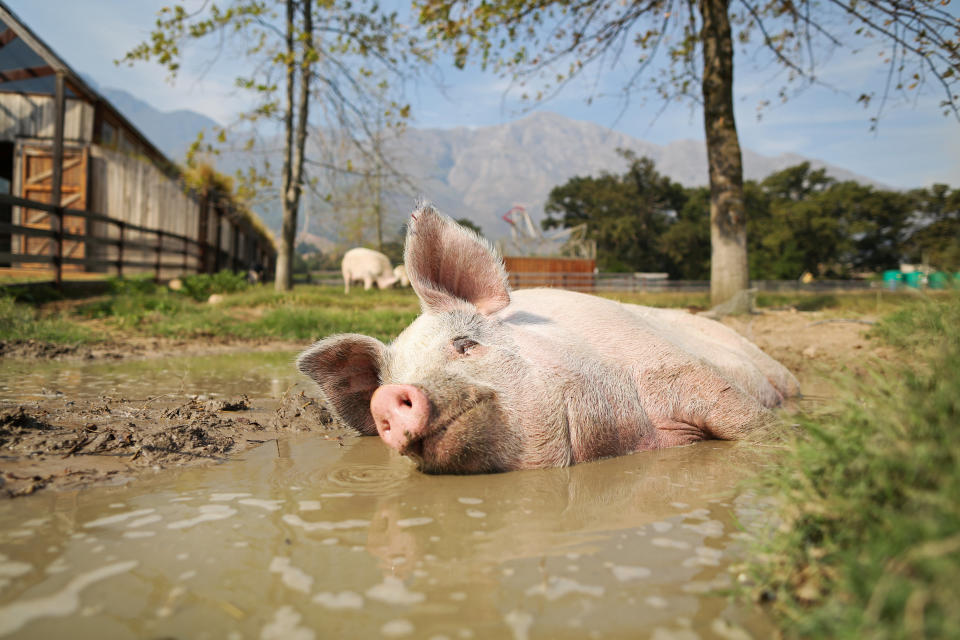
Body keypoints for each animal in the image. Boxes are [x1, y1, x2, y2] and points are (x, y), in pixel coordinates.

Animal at [296, 202, 800, 472]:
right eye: (384, 386)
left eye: (465, 344)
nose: (388, 398)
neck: (613, 442)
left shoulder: (676, 368)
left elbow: (743, 420)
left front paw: (785, 440)